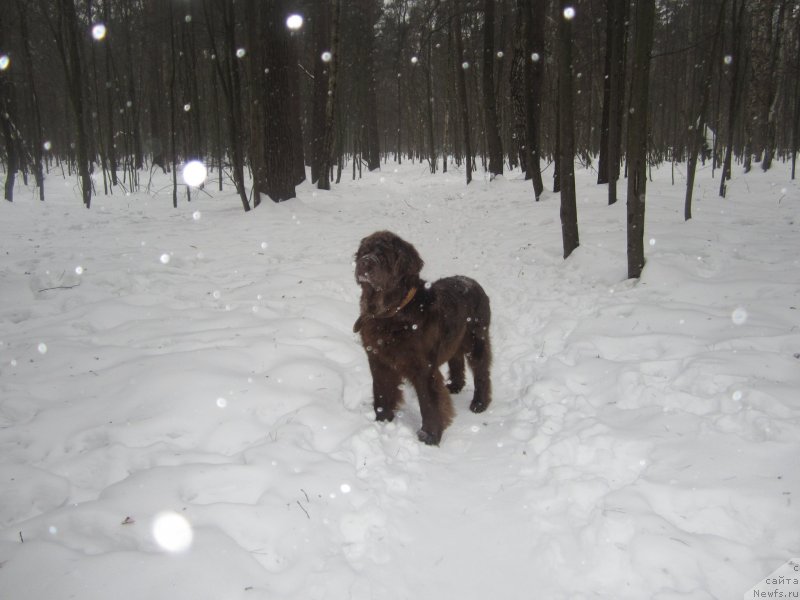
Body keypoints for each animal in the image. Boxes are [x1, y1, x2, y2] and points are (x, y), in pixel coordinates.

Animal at [354, 230, 490, 446]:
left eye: (383, 255)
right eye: (363, 252)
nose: (364, 262)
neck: (392, 313)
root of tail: (473, 282)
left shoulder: (423, 367)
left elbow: (429, 402)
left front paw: (430, 436)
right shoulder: (377, 359)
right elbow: (381, 392)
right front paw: (383, 421)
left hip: (477, 339)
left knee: (481, 371)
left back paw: (479, 403)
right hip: (455, 338)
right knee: (456, 359)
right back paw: (455, 386)